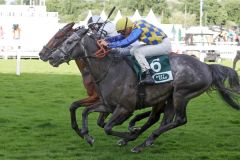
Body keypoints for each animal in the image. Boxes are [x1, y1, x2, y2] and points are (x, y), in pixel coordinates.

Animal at [48, 27, 240, 152]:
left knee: (179, 120)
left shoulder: (125, 108)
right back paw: (144, 142)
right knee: (163, 120)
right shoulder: (108, 105)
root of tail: (207, 67)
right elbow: (85, 112)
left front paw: (129, 134)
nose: (51, 57)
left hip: (181, 94)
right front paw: (87, 135)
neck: (109, 69)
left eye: (69, 41)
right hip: (169, 98)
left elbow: (107, 127)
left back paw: (139, 140)